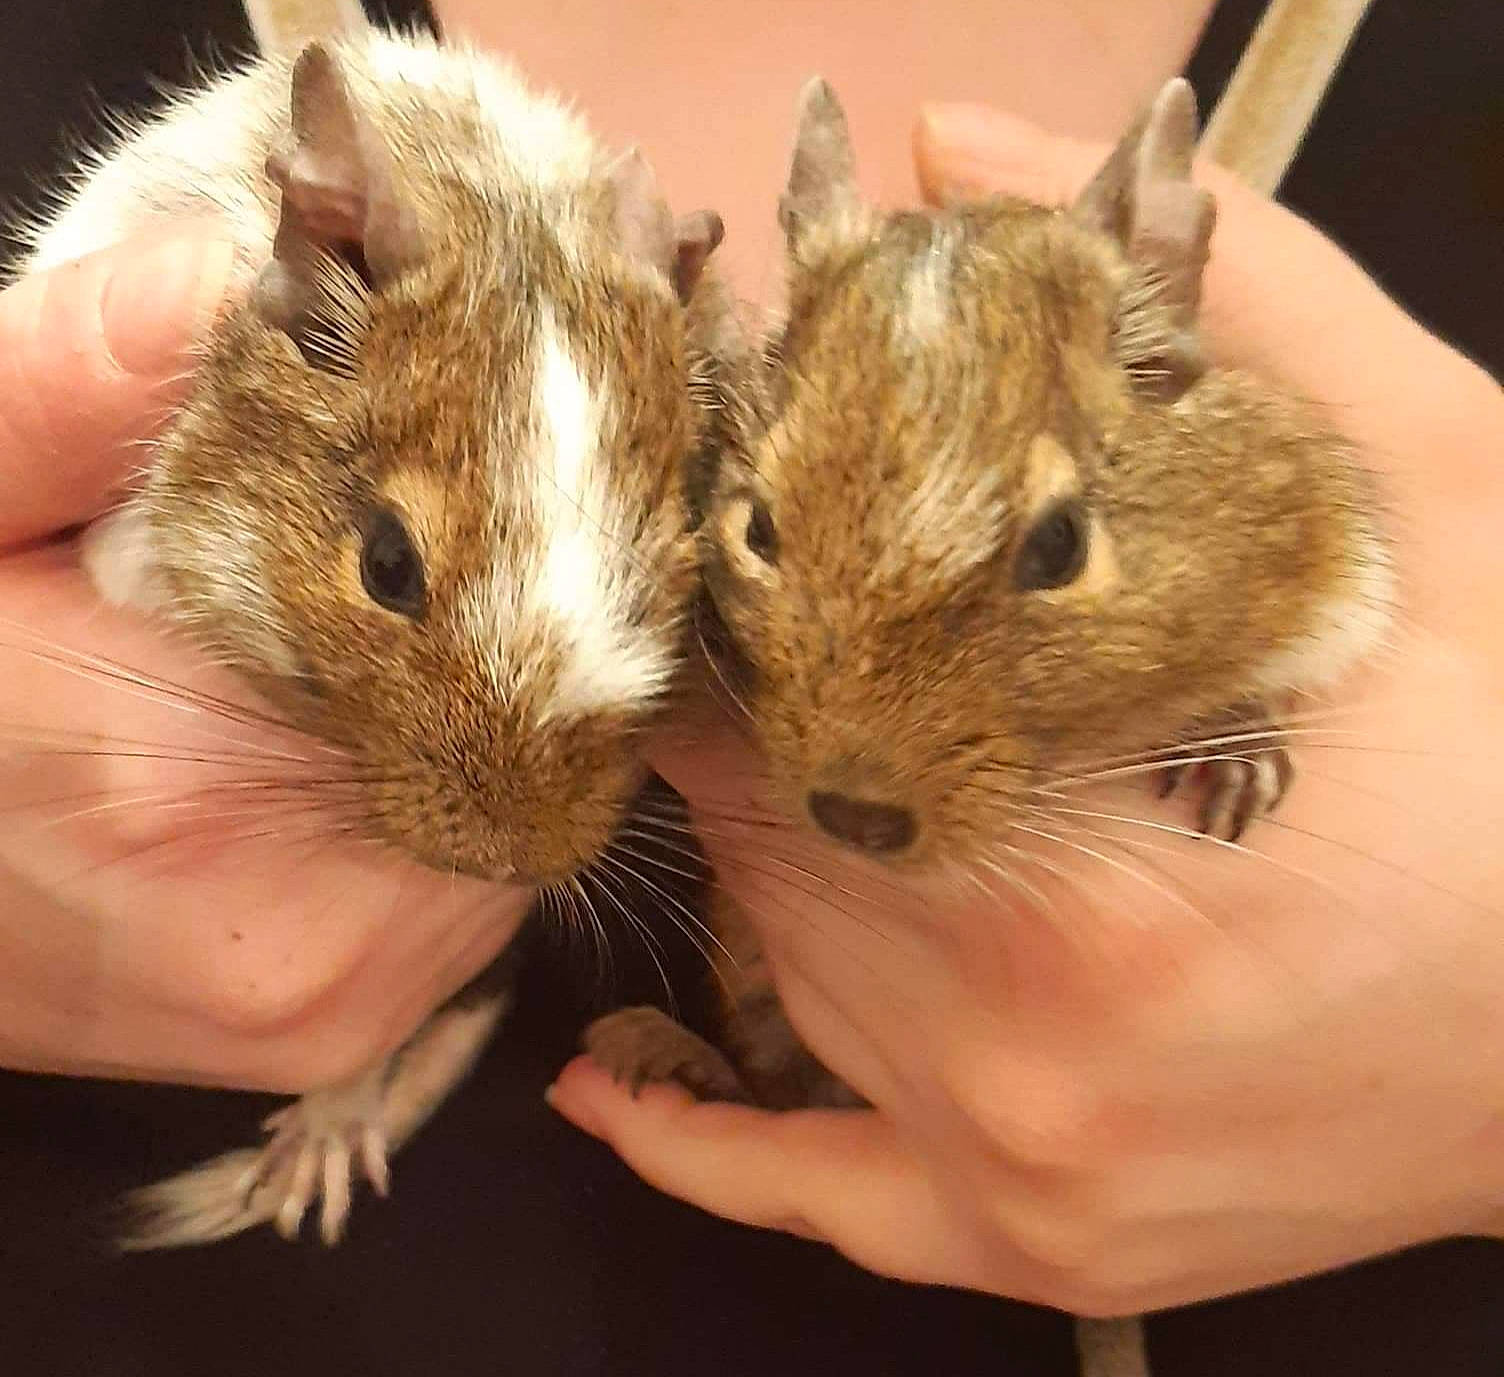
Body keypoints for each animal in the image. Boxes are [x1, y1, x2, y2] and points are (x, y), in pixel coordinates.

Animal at [582, 72, 1391, 1377]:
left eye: (1059, 546)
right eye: (756, 528)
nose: (853, 817)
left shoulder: (1325, 533)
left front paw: (1233, 748)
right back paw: (673, 1061)